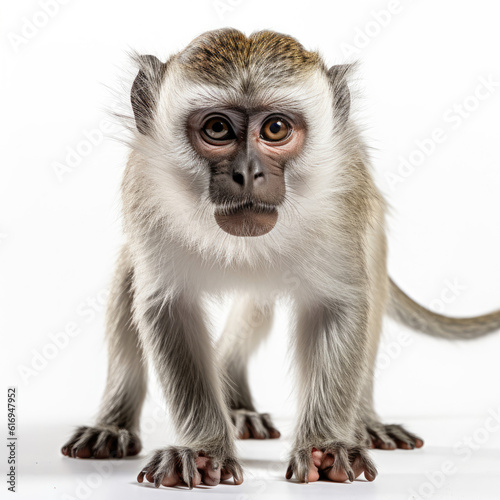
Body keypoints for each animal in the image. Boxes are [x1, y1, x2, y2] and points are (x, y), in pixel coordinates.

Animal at [60, 29, 498, 486]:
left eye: (275, 128)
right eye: (217, 128)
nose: (248, 173)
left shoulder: (342, 202)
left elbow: (339, 305)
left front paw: (325, 445)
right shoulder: (145, 193)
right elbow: (168, 306)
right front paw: (203, 450)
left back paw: (361, 419)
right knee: (133, 279)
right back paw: (124, 424)